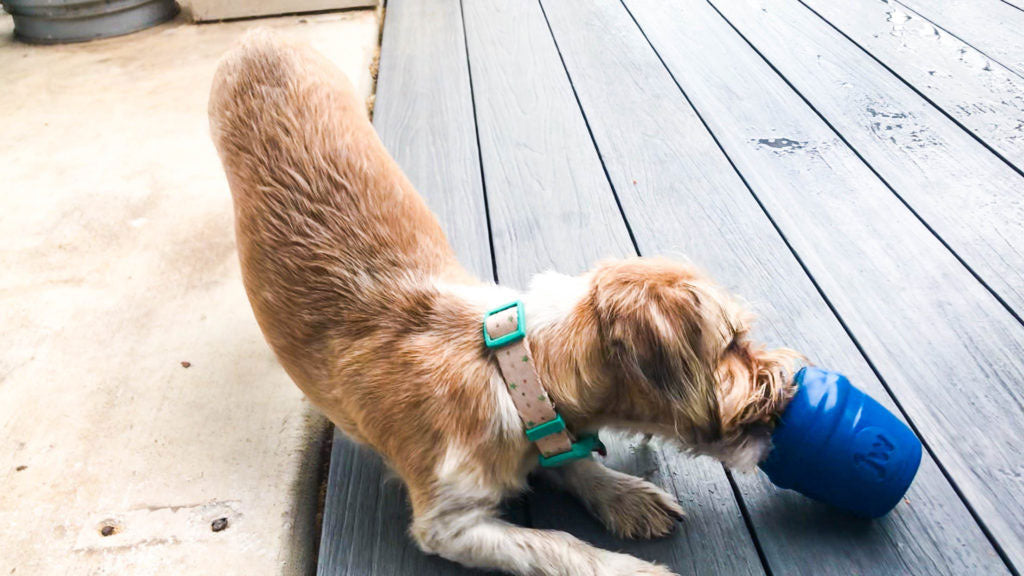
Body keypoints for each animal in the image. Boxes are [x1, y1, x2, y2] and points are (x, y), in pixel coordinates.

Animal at [205, 30, 798, 573]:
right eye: (733, 342)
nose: (789, 383)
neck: (512, 370)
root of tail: (260, 36)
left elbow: (574, 463)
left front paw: (623, 494)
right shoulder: (448, 522)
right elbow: (559, 546)